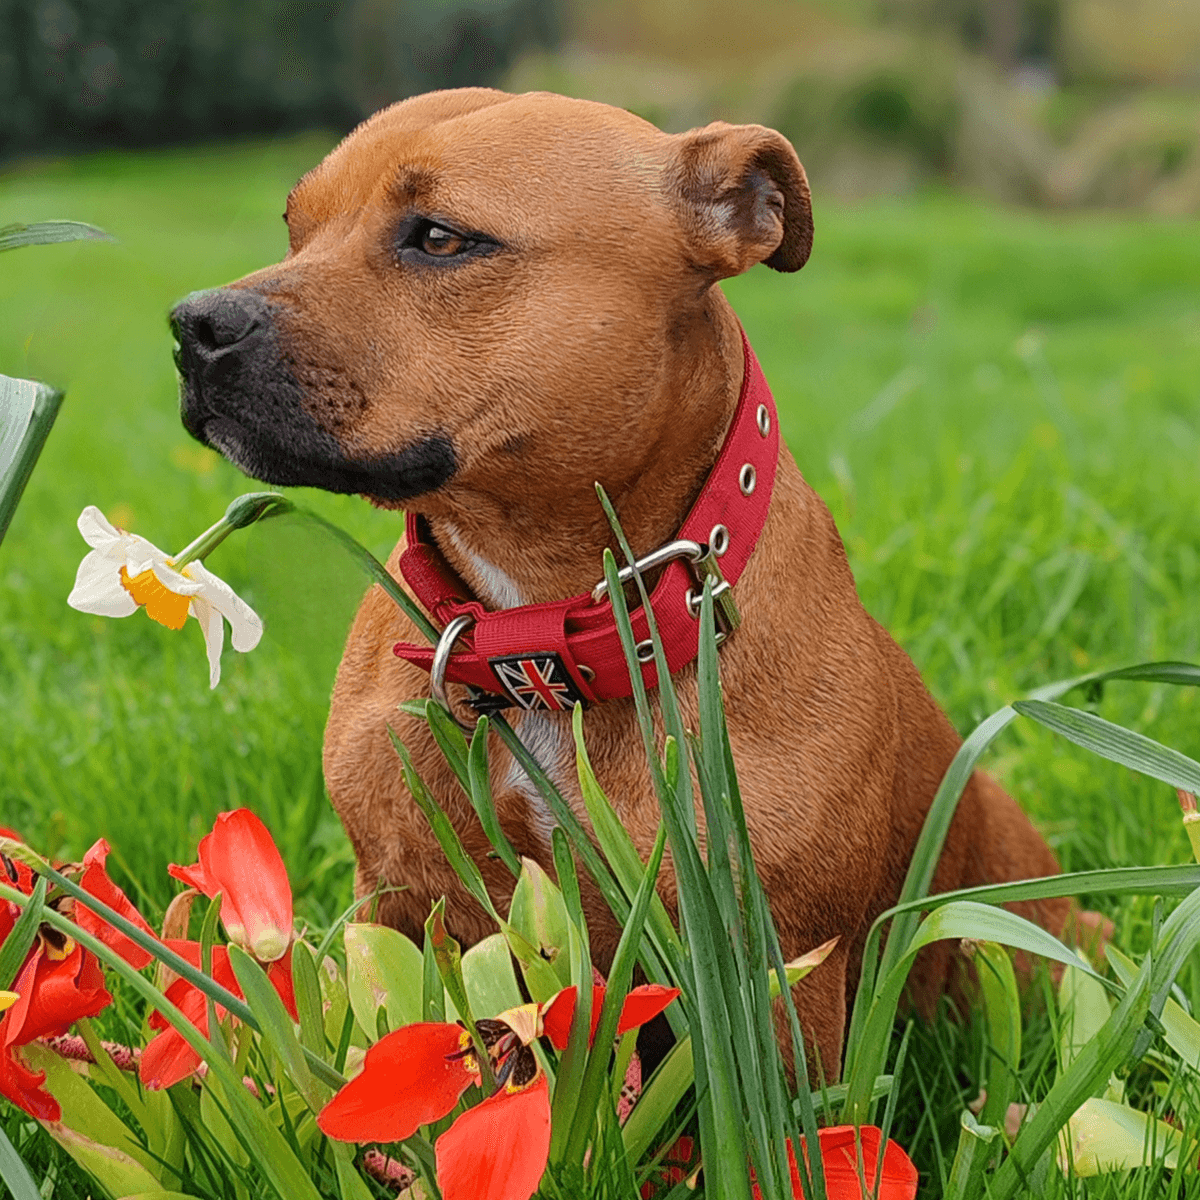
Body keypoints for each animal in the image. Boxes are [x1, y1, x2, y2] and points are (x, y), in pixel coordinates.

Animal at [171, 88, 1070, 1075]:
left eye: (441, 238)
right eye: (295, 228)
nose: (195, 325)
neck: (535, 631)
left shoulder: (781, 970)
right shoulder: (400, 908)